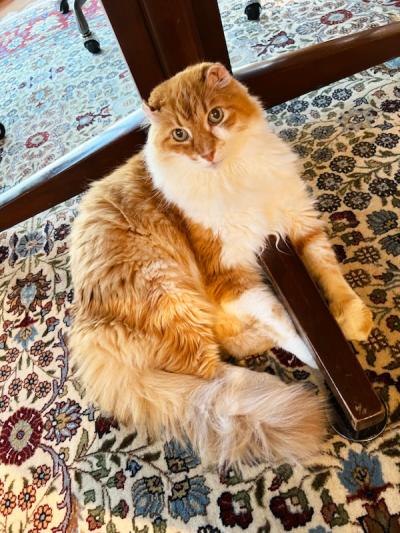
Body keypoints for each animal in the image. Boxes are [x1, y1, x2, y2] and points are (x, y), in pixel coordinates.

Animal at [69, 62, 372, 466]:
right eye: (180, 134)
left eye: (215, 117)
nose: (206, 152)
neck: (232, 174)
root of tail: (87, 331)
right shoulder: (228, 274)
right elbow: (283, 317)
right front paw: (318, 353)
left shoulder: (299, 220)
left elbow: (329, 272)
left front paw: (350, 318)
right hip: (172, 295)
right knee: (212, 377)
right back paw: (276, 387)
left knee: (225, 349)